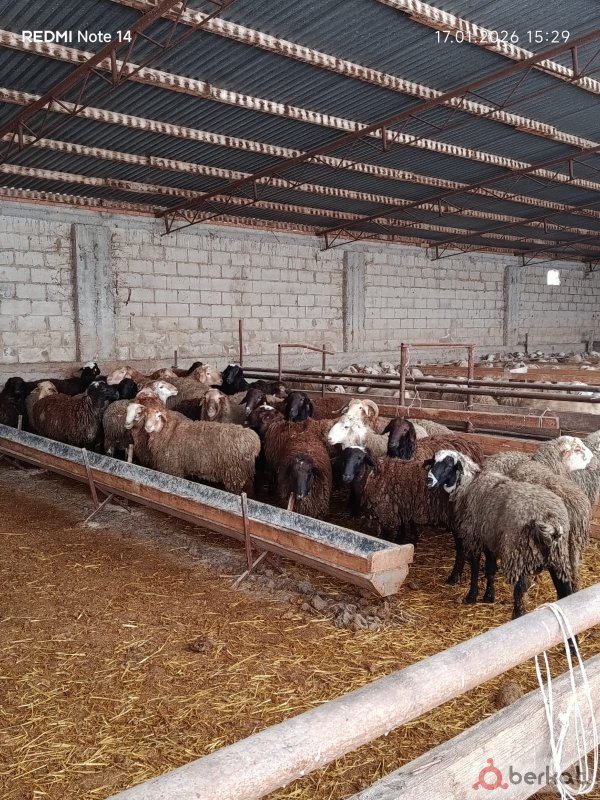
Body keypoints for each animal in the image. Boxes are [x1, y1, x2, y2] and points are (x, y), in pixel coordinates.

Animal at [426, 451, 574, 618]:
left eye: (449, 465)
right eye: (433, 462)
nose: (429, 481)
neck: (468, 485)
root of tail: (549, 519)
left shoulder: (473, 537)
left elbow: (475, 567)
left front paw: (471, 596)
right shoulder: (489, 539)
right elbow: (490, 569)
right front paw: (489, 597)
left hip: (518, 554)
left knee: (520, 591)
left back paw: (517, 616)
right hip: (558, 557)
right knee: (565, 590)